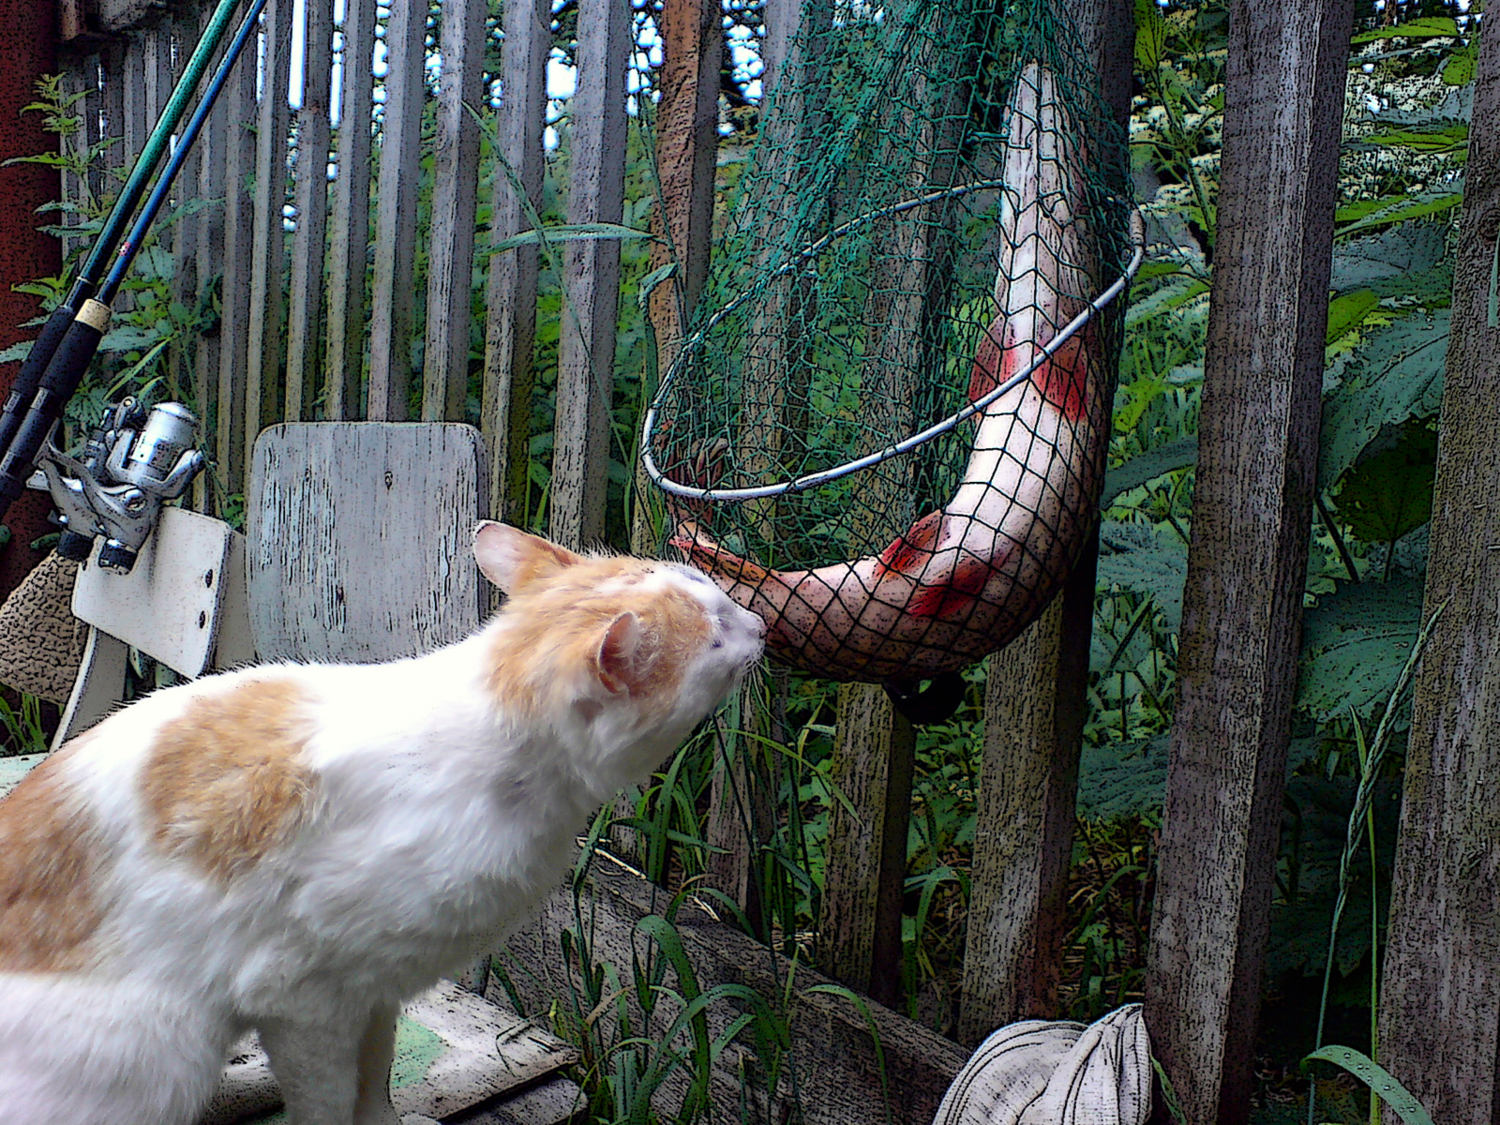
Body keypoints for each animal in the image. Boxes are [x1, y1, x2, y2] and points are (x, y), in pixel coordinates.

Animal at [0, 528, 768, 1125]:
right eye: (715, 633)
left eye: (715, 589)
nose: (760, 624)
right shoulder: (302, 998)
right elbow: (328, 1101)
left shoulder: (372, 989)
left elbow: (375, 1078)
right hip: (160, 1052)